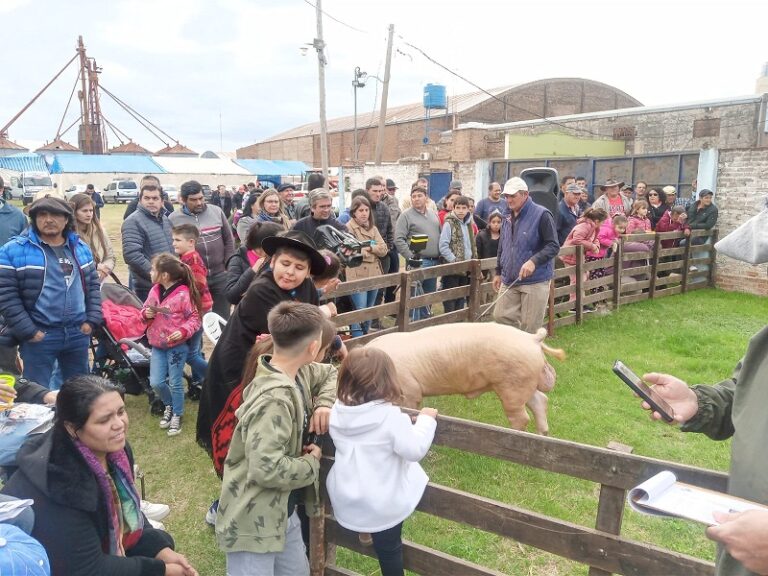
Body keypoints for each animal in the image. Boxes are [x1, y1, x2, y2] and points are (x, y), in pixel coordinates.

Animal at [366, 322, 564, 434]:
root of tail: (532, 338)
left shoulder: (409, 390)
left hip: (512, 385)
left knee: (522, 417)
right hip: (523, 382)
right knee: (540, 401)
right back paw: (542, 434)